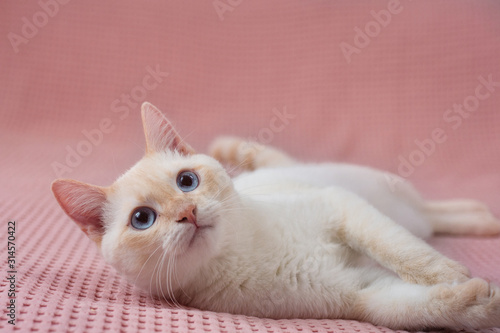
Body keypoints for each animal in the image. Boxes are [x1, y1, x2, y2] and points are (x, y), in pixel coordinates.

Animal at [51, 102, 500, 330]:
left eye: (186, 181)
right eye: (142, 219)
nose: (188, 212)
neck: (241, 255)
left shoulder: (340, 206)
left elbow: (403, 252)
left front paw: (448, 274)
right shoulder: (362, 294)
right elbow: (417, 308)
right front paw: (480, 301)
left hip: (383, 200)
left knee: (426, 219)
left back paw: (484, 220)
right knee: (434, 218)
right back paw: (484, 219)